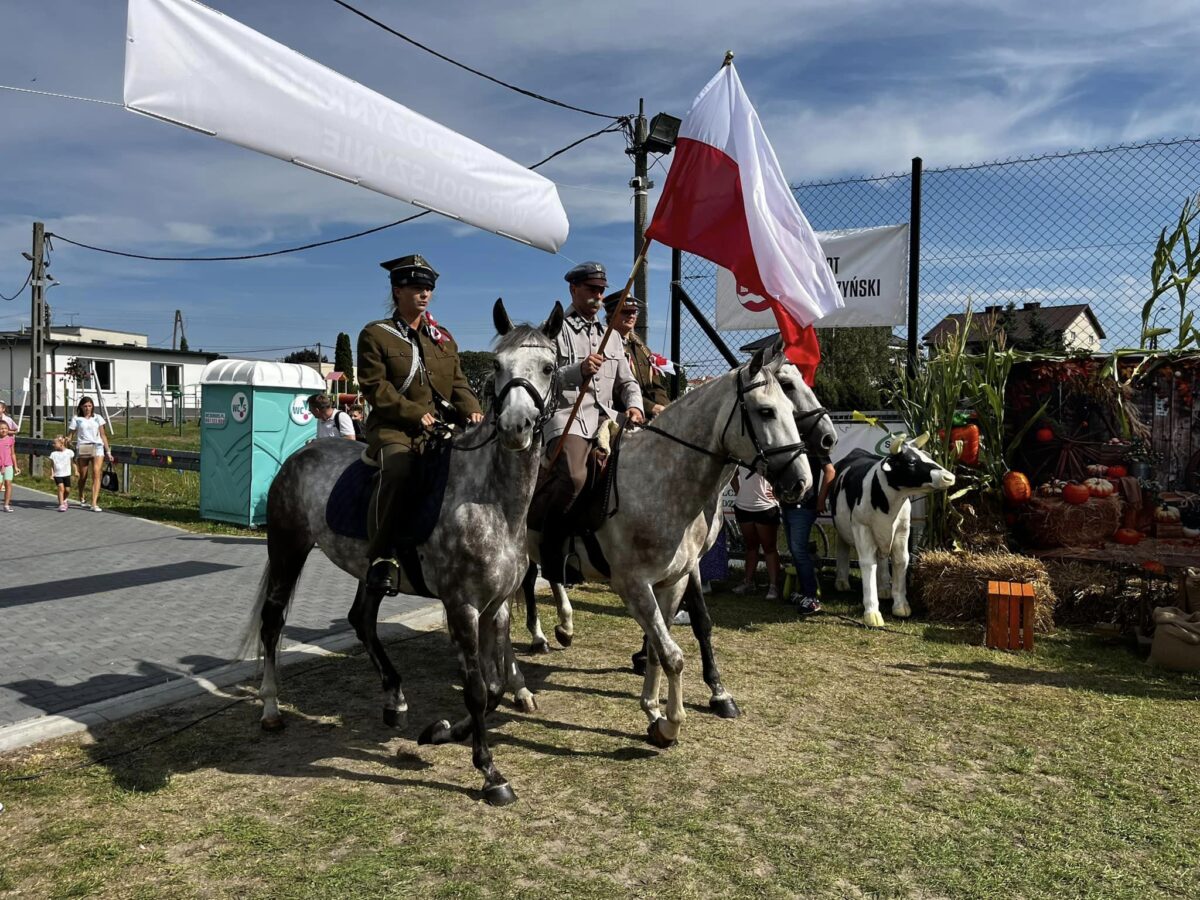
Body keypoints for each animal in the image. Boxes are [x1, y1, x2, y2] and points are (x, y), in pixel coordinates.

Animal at [243, 300, 566, 806]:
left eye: (549, 367)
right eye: (497, 366)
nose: (516, 427)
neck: (491, 499)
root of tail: (299, 455)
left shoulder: (496, 606)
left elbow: (495, 684)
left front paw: (443, 731)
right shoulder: (462, 607)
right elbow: (477, 689)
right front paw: (489, 772)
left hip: (369, 569)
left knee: (361, 619)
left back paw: (394, 699)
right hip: (287, 549)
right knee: (272, 623)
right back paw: (271, 709)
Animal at [528, 345, 816, 748]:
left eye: (789, 406)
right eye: (766, 411)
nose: (802, 482)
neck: (660, 482)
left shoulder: (674, 579)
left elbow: (661, 647)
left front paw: (654, 709)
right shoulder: (634, 585)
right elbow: (673, 654)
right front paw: (670, 724)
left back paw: (563, 628)